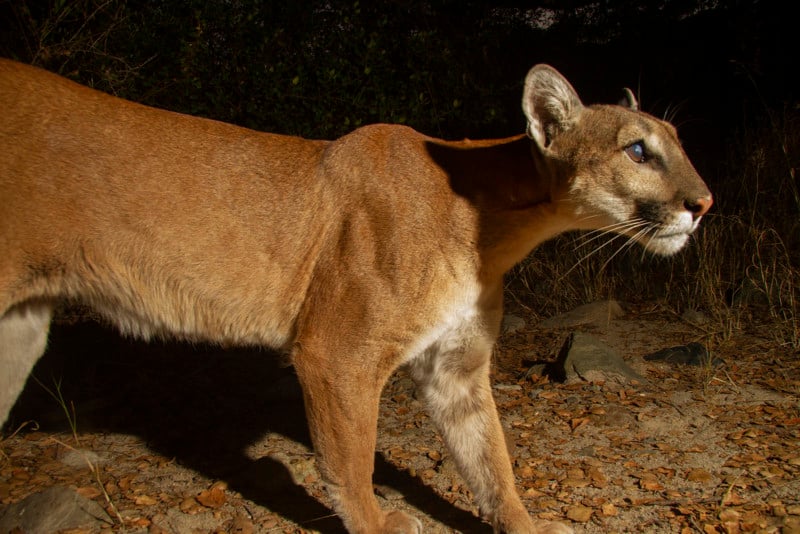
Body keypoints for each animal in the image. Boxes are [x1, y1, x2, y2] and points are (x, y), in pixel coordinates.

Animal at [1, 59, 712, 534]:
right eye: (638, 150)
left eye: (678, 143)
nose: (704, 203)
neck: (496, 227)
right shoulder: (338, 354)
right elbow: (353, 461)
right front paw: (379, 524)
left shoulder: (455, 367)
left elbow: (491, 458)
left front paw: (525, 524)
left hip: (18, 331)